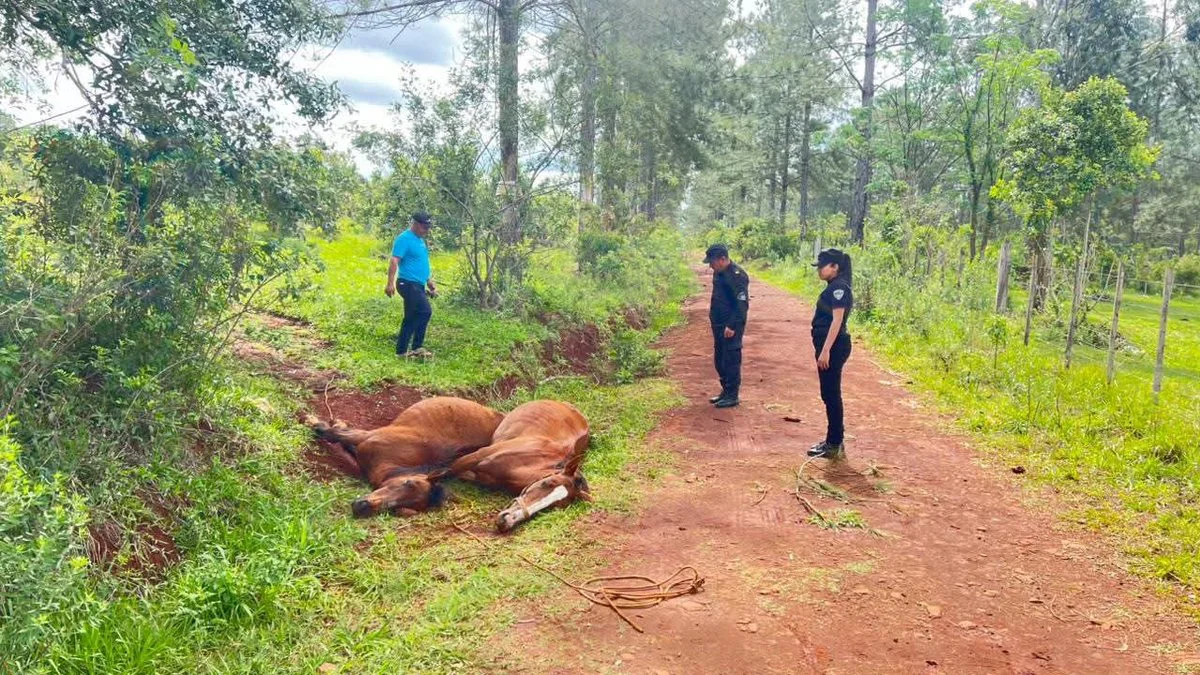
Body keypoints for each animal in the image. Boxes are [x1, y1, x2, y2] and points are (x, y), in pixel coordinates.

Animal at [304, 396, 504, 517]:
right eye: (407, 482)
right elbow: (334, 434)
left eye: (403, 509)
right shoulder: (366, 437)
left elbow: (340, 437)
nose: (362, 506)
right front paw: (316, 421)